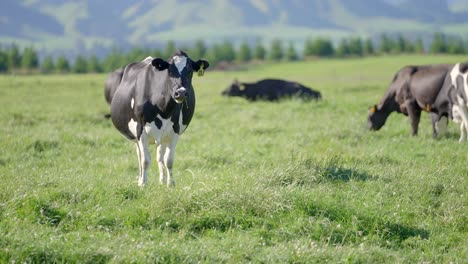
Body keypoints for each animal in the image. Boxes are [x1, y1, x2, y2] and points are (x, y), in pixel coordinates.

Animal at [109, 50, 208, 187]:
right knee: (140, 157)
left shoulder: (174, 130)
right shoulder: (141, 130)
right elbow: (145, 160)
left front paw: (170, 184)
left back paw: (161, 180)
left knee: (160, 156)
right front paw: (143, 184)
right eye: (169, 71)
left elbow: (169, 160)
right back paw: (140, 179)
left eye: (190, 71)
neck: (162, 107)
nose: (181, 93)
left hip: (162, 136)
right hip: (136, 137)